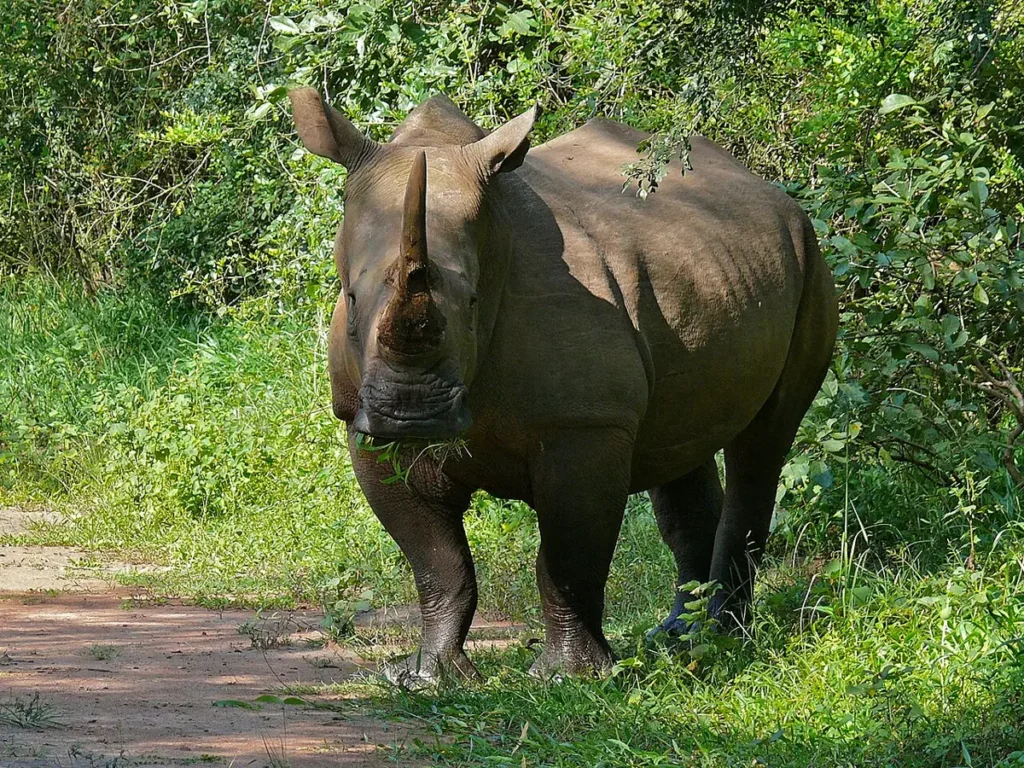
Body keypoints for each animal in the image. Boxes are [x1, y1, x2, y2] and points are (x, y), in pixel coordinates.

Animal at [289, 88, 838, 682]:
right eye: (350, 301)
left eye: (473, 304)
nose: (411, 413)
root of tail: (770, 191)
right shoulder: (362, 424)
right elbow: (438, 563)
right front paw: (427, 676)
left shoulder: (586, 423)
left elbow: (568, 556)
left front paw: (567, 676)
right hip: (713, 267)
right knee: (681, 443)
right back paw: (678, 637)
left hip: (811, 258)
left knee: (763, 442)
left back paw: (721, 638)